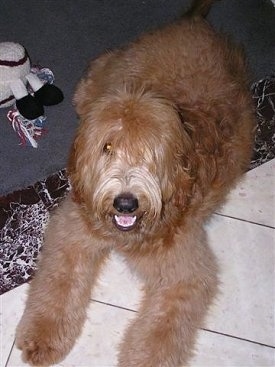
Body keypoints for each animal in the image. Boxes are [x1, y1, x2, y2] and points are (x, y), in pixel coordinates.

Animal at [15, 1, 256, 366]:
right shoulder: (73, 228)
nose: (125, 203)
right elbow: (59, 281)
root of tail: (193, 24)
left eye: (149, 154)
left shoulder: (185, 272)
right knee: (104, 63)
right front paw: (43, 335)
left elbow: (162, 329)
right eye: (107, 148)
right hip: (121, 66)